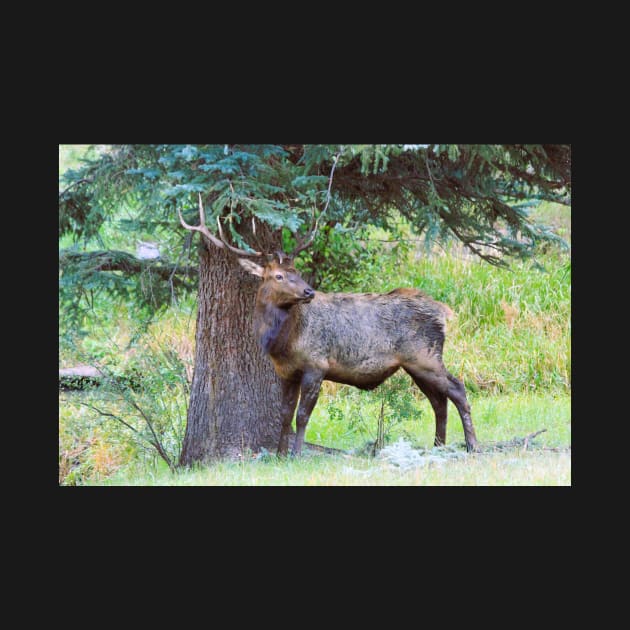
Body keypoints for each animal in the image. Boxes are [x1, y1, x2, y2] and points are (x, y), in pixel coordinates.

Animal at [178, 193, 478, 460]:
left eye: (297, 272)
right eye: (278, 276)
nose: (308, 291)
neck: (282, 343)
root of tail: (442, 311)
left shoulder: (316, 364)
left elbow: (302, 415)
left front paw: (296, 455)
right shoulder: (286, 372)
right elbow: (285, 414)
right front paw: (279, 454)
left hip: (425, 356)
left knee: (458, 389)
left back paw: (472, 446)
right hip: (415, 364)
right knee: (438, 401)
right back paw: (439, 447)